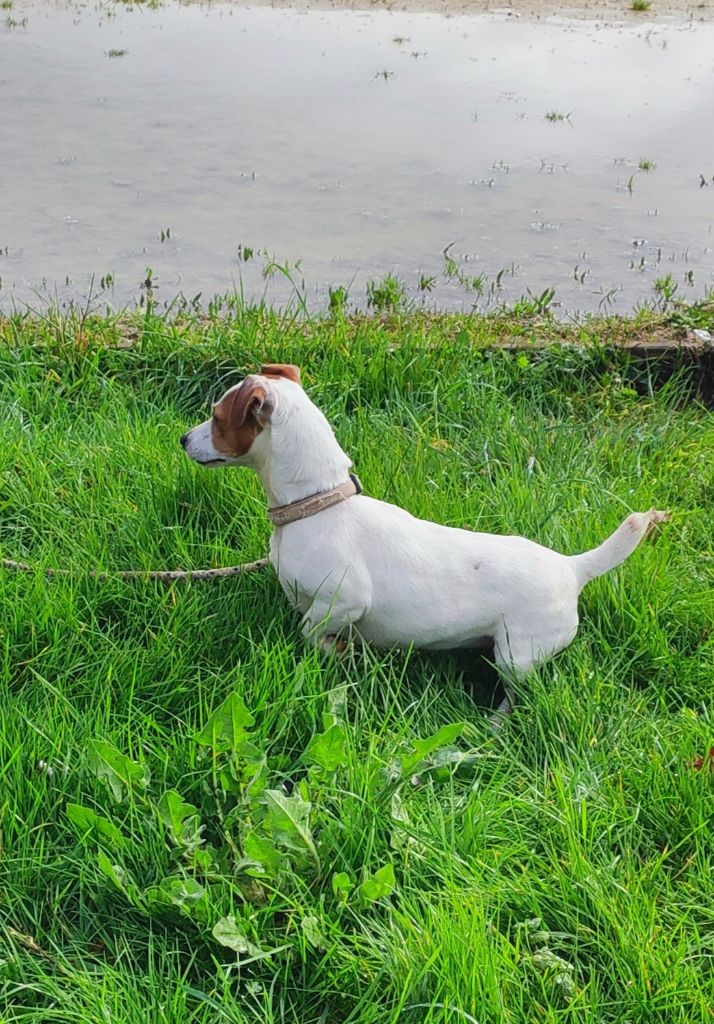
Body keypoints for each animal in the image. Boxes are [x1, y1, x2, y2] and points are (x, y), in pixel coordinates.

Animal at [181, 363, 669, 715]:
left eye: (217, 418)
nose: (183, 439)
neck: (319, 503)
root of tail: (572, 567)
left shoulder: (345, 599)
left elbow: (310, 630)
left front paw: (337, 652)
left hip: (517, 654)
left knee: (518, 694)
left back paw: (494, 724)